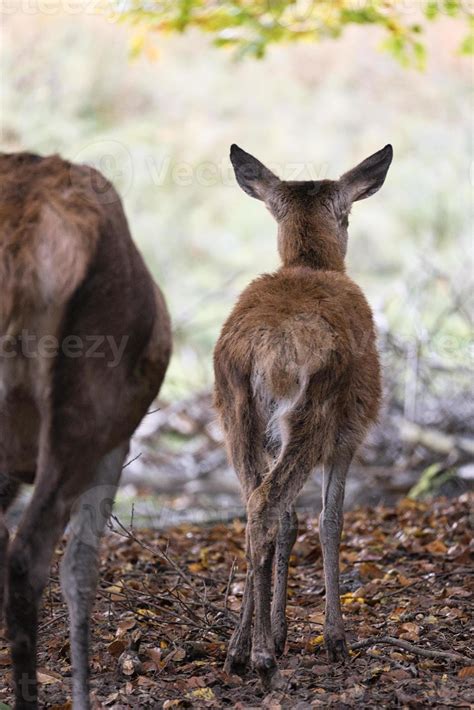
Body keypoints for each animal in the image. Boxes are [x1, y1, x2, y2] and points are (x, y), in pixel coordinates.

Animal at [215, 143, 392, 688]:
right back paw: (261, 658)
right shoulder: (351, 435)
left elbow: (293, 524)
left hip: (235, 415)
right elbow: (330, 521)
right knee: (266, 503)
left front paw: (279, 630)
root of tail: (267, 350)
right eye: (349, 213)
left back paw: (238, 649)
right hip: (316, 414)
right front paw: (334, 639)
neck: (311, 265)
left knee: (256, 505)